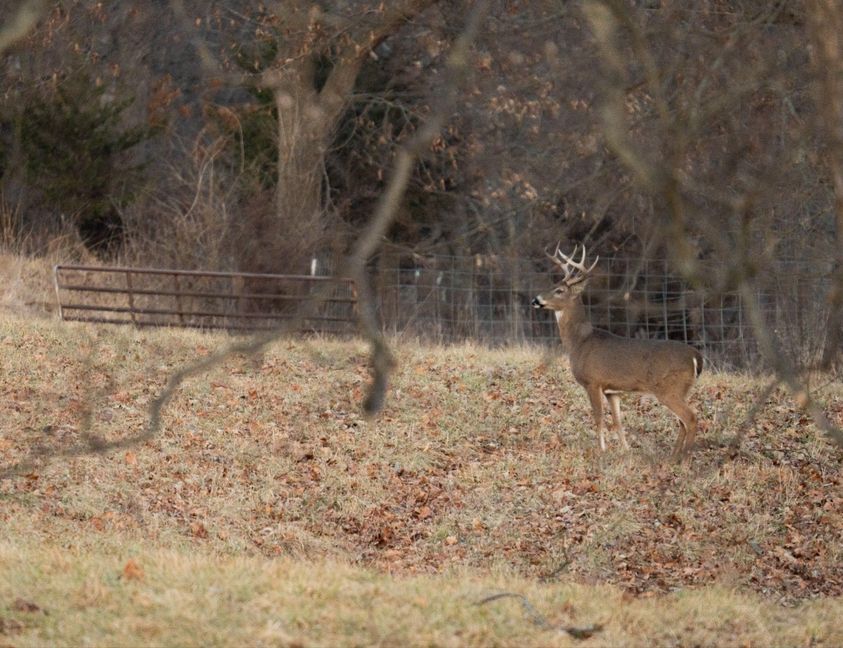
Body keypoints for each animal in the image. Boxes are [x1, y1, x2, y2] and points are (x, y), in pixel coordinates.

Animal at [531, 245, 703, 458]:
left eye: (559, 290)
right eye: (553, 284)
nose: (535, 300)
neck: (580, 342)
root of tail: (696, 357)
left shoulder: (593, 382)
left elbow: (599, 419)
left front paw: (601, 451)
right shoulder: (612, 390)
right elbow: (618, 422)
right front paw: (625, 450)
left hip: (669, 389)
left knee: (691, 418)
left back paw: (684, 459)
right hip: (681, 390)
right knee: (682, 422)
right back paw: (673, 456)